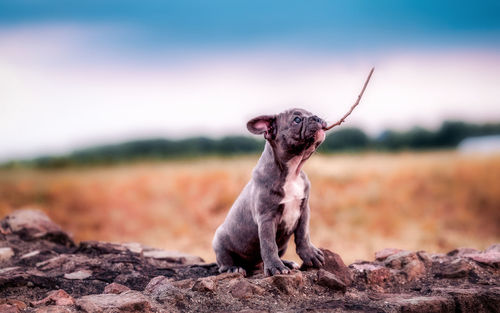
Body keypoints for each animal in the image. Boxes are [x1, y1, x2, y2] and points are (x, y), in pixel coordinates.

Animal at [212, 107, 326, 276]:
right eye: (297, 120)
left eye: (311, 114)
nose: (317, 118)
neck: (292, 172)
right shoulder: (266, 218)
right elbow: (268, 244)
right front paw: (275, 267)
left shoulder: (304, 209)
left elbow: (303, 234)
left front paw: (310, 254)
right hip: (219, 241)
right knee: (224, 261)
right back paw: (233, 268)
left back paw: (287, 262)